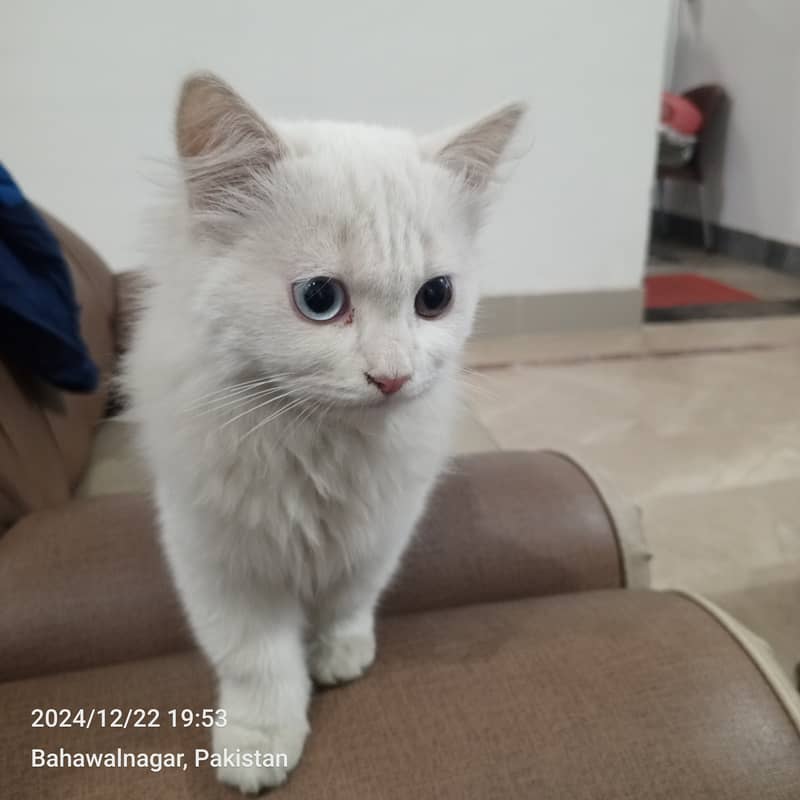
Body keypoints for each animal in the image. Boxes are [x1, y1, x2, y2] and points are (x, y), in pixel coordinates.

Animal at [125, 73, 524, 792]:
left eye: (435, 298)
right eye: (319, 299)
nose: (392, 377)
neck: (320, 449)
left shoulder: (382, 528)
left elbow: (350, 598)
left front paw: (339, 656)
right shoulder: (222, 559)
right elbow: (258, 662)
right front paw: (259, 747)